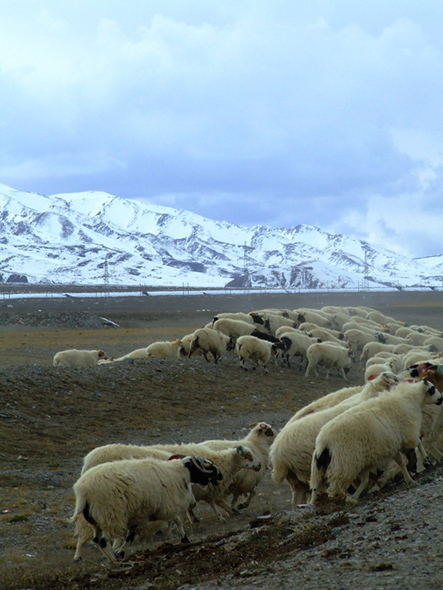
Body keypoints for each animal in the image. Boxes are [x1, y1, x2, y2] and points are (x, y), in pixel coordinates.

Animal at [72, 458, 222, 564]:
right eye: (200, 465)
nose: (219, 475)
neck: (177, 473)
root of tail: (83, 491)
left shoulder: (138, 516)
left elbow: (130, 537)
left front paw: (121, 551)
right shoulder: (167, 505)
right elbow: (178, 520)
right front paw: (185, 539)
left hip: (95, 521)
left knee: (97, 540)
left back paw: (112, 557)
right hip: (110, 515)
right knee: (103, 541)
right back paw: (114, 560)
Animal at [310, 380, 442, 504]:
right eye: (432, 388)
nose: (441, 399)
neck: (409, 399)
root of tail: (323, 442)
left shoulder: (393, 444)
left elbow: (400, 463)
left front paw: (408, 479)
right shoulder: (408, 434)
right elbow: (418, 442)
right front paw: (426, 459)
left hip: (325, 469)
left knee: (319, 487)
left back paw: (350, 497)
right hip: (344, 465)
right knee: (334, 489)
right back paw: (345, 499)